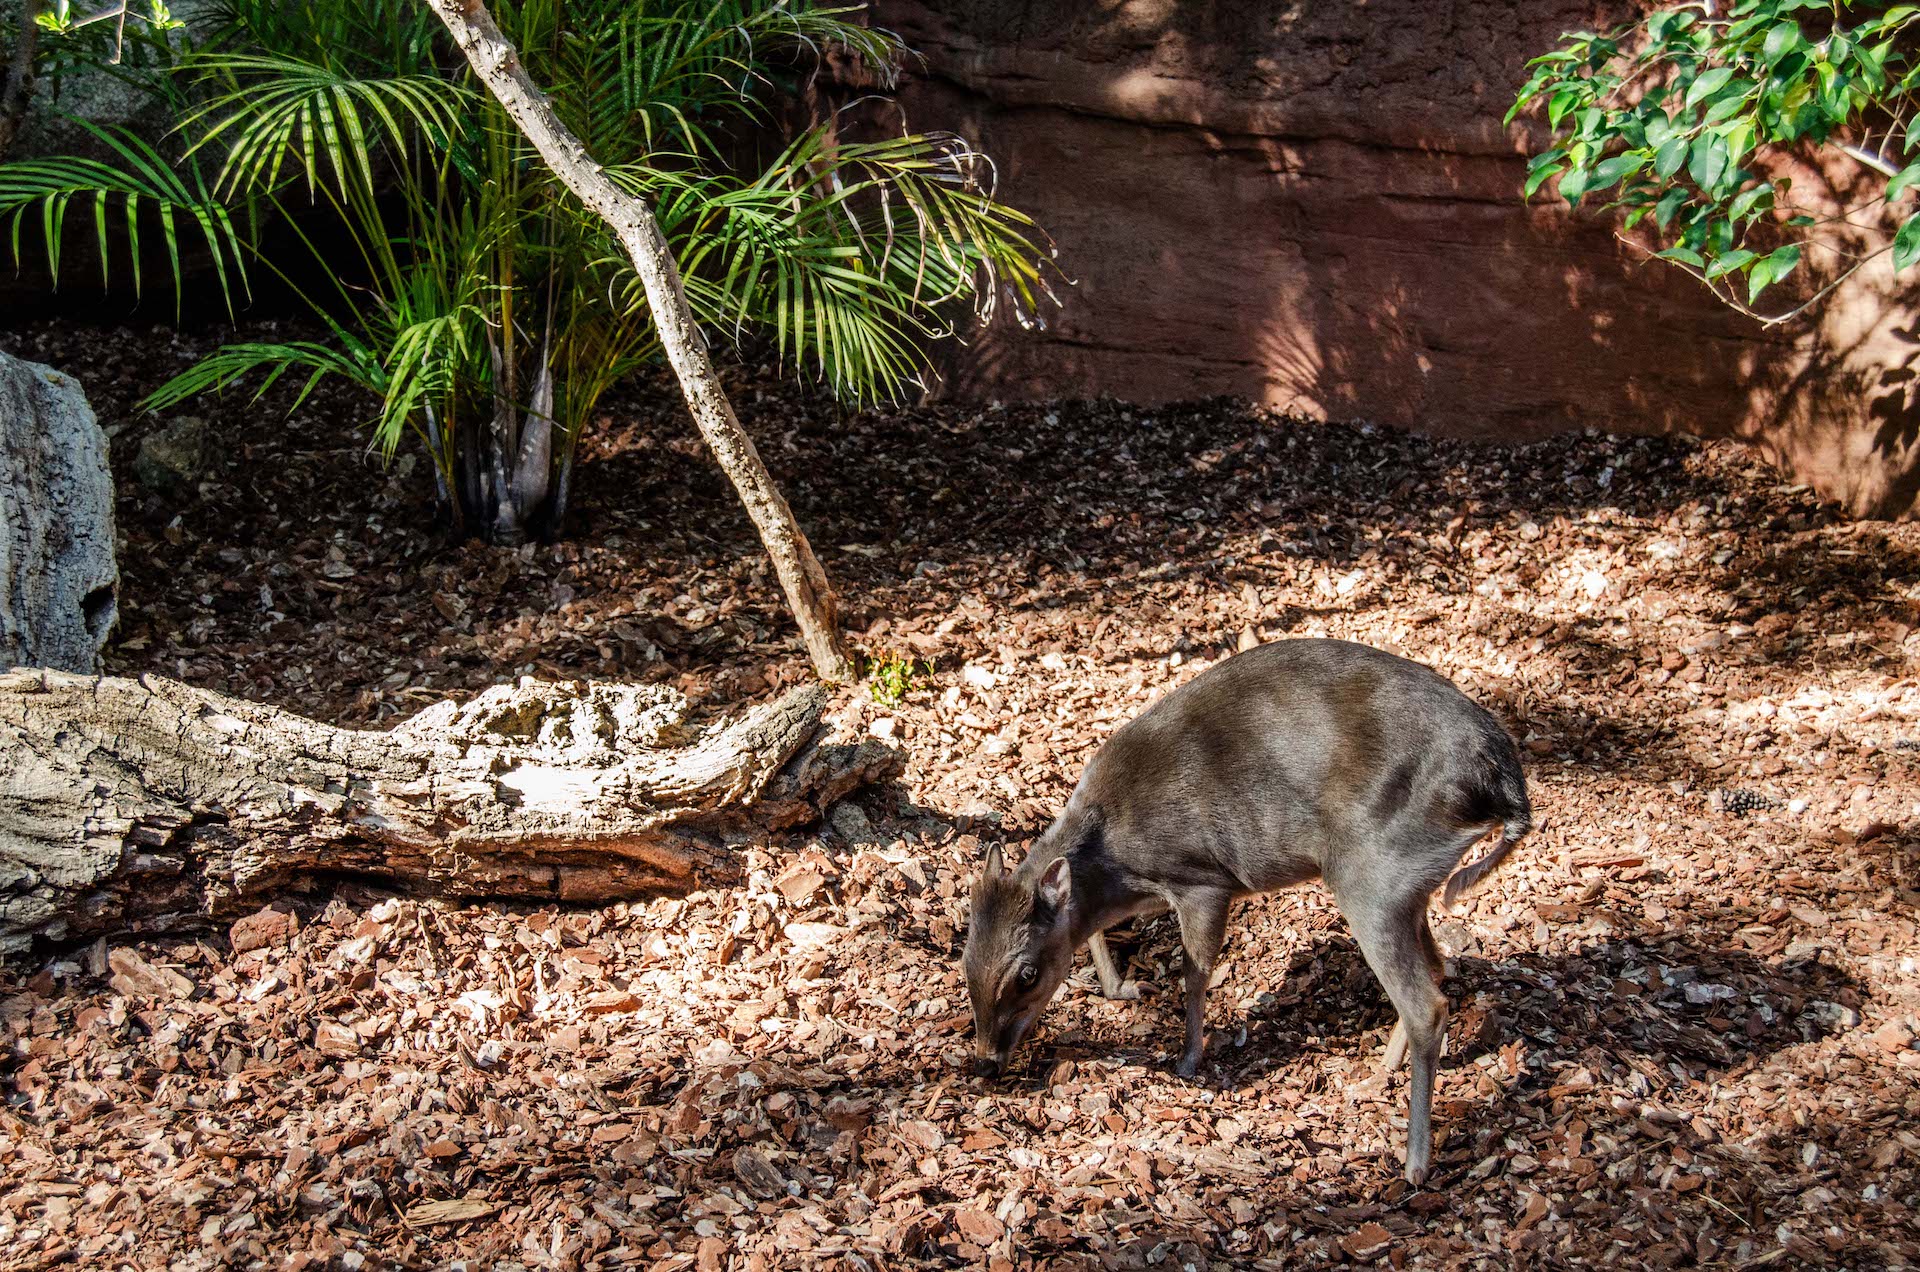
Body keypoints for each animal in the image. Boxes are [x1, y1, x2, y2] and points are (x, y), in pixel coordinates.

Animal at [967, 637, 1536, 1183]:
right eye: (964, 961)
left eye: (1027, 973)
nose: (986, 1062)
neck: (1116, 857)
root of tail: (1507, 787)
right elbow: (1091, 930)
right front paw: (1121, 989)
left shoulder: (1202, 881)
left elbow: (1195, 972)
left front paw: (1188, 1059)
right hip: (1410, 886)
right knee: (1439, 967)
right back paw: (1379, 1074)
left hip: (1375, 877)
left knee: (1427, 1004)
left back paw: (1414, 1163)